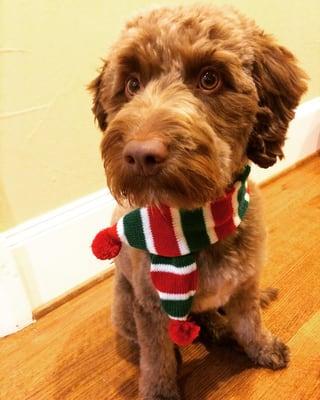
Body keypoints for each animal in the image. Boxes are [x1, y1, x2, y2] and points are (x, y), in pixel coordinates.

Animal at [88, 3, 308, 400]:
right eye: (131, 84)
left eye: (210, 79)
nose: (140, 154)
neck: (197, 218)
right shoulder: (150, 307)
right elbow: (157, 354)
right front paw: (160, 390)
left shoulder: (245, 281)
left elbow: (250, 321)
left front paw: (261, 347)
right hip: (124, 306)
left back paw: (224, 328)